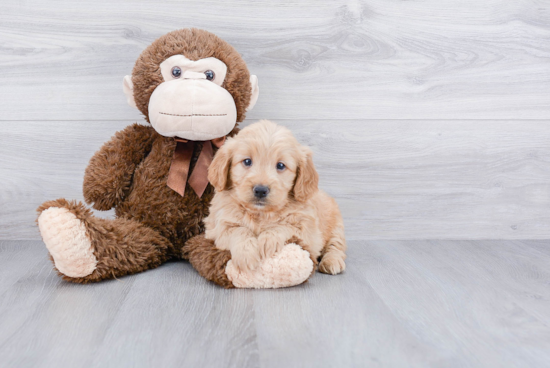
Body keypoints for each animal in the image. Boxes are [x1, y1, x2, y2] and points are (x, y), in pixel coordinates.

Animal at [205, 121, 348, 276]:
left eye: (280, 165)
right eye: (247, 161)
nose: (260, 190)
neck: (261, 214)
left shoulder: (309, 232)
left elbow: (285, 226)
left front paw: (268, 240)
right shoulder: (216, 227)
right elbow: (238, 230)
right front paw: (246, 255)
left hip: (336, 226)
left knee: (336, 245)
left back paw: (332, 261)